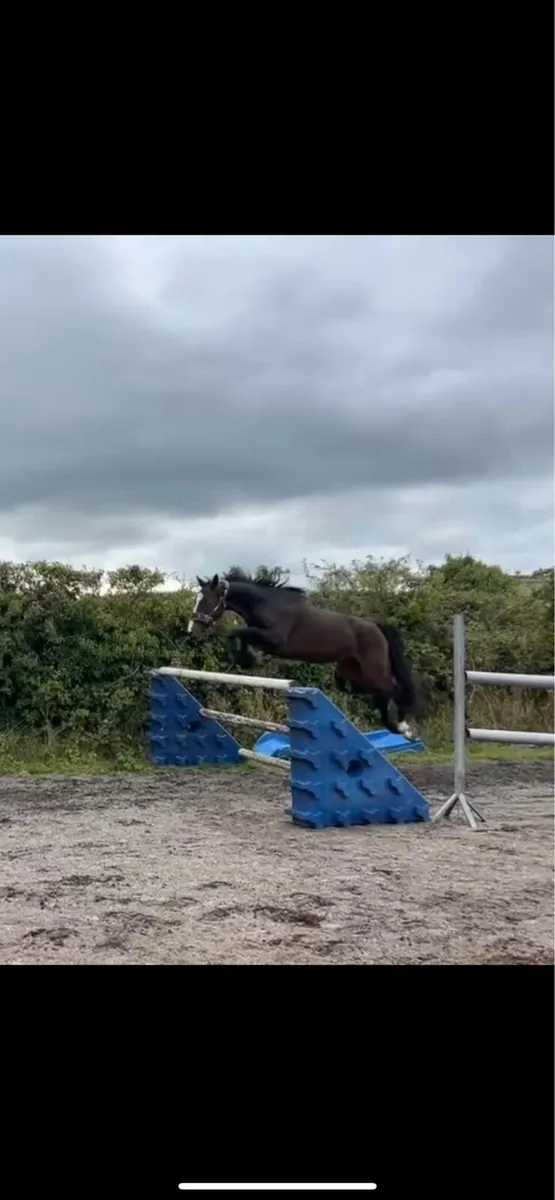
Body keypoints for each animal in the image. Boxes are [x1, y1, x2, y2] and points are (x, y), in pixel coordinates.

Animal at [187, 571, 422, 739]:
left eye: (207, 601)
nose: (192, 630)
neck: (266, 604)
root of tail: (376, 626)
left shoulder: (275, 639)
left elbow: (236, 632)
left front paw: (247, 658)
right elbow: (242, 635)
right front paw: (247, 660)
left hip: (374, 670)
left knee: (393, 689)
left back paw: (404, 728)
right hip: (352, 671)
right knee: (380, 693)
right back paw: (393, 727)